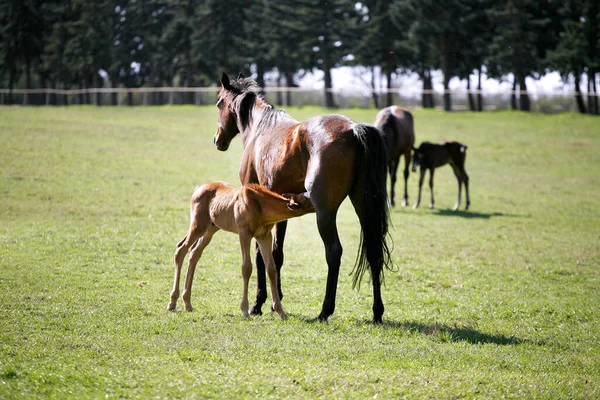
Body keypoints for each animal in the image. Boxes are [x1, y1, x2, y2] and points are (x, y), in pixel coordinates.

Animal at [166, 183, 312, 320]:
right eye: (308, 199)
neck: (259, 205)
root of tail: (198, 189)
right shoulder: (244, 233)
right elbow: (246, 268)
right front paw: (245, 310)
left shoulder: (264, 236)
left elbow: (271, 269)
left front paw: (281, 312)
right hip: (198, 226)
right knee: (181, 249)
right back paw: (172, 302)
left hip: (211, 229)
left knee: (194, 253)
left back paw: (187, 303)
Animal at [213, 72, 392, 322]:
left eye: (219, 103)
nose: (217, 139)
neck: (260, 129)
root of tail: (353, 129)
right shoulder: (280, 211)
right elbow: (276, 254)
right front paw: (274, 302)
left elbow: (260, 255)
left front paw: (258, 304)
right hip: (364, 207)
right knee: (374, 252)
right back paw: (377, 312)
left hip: (325, 213)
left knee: (334, 252)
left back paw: (325, 311)